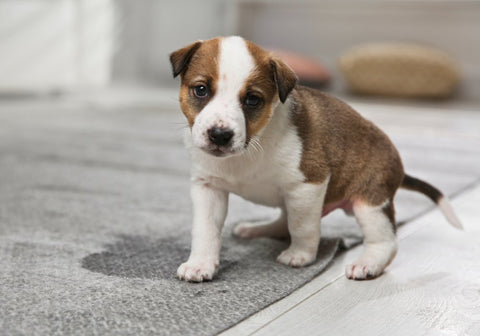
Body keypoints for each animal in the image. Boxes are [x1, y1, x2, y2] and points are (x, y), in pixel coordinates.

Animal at [170, 35, 462, 282]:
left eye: (252, 100)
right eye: (200, 90)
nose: (220, 135)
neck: (252, 146)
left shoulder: (307, 185)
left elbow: (302, 227)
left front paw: (301, 255)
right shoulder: (208, 188)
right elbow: (205, 231)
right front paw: (200, 264)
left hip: (370, 203)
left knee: (385, 241)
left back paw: (368, 263)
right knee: (282, 222)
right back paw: (256, 229)